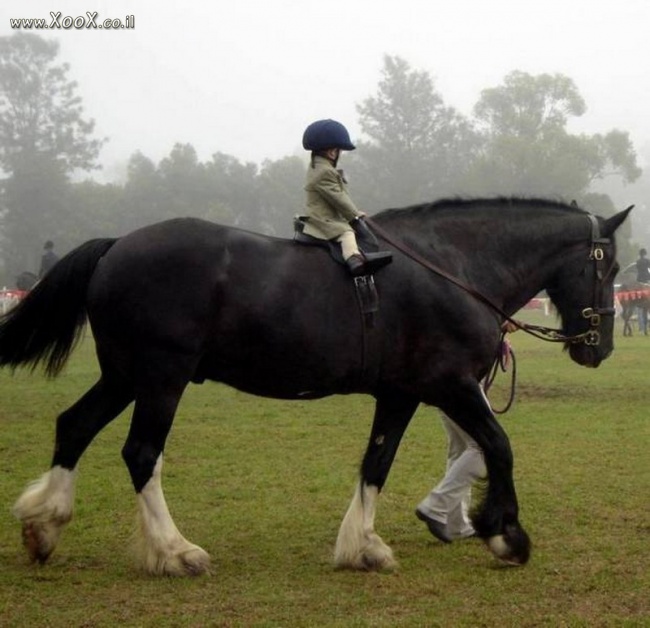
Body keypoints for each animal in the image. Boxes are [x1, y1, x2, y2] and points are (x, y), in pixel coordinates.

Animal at [0, 196, 628, 576]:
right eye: (614, 268)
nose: (598, 348)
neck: (453, 268)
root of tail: (117, 245)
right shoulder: (450, 385)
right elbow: (499, 446)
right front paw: (507, 534)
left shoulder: (402, 393)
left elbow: (377, 463)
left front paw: (363, 546)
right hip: (160, 378)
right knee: (140, 454)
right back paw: (175, 552)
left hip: (125, 377)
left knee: (74, 426)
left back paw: (44, 527)